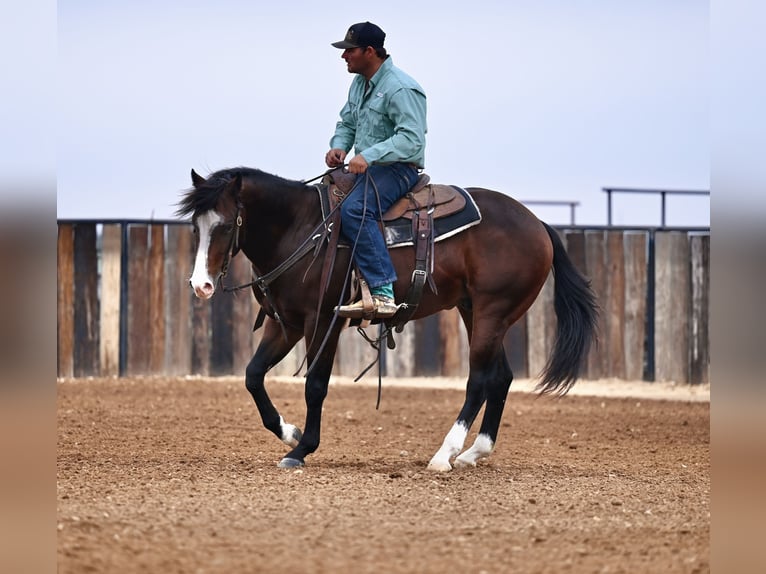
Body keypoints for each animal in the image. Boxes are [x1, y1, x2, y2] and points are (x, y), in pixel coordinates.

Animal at [177, 166, 598, 471]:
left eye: (226, 225)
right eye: (195, 225)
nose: (200, 285)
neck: (303, 228)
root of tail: (538, 225)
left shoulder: (323, 321)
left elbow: (315, 385)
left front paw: (302, 449)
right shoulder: (288, 323)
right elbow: (253, 375)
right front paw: (290, 432)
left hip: (493, 311)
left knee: (479, 380)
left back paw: (444, 455)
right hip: (476, 311)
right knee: (502, 378)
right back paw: (473, 453)